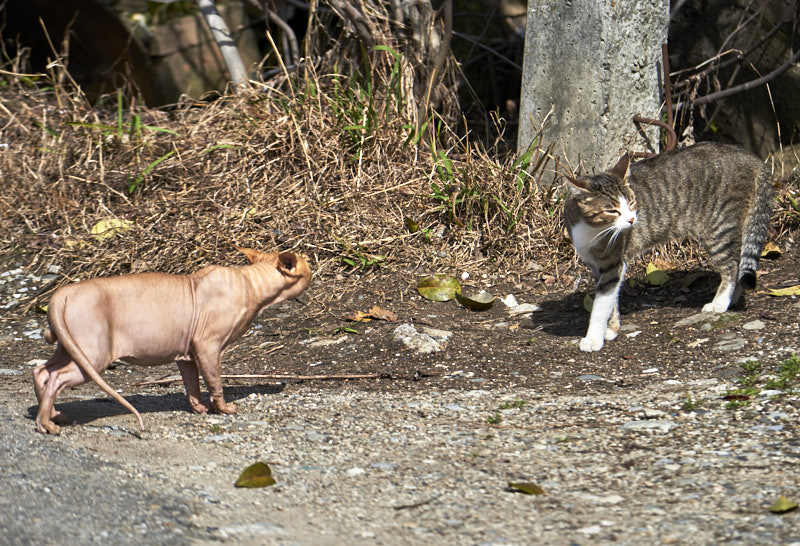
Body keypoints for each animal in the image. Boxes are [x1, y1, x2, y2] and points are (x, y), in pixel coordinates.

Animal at [564, 142, 776, 350]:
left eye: (632, 202)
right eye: (612, 210)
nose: (632, 220)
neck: (592, 229)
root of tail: (752, 157)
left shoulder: (613, 262)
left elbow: (601, 304)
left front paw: (593, 339)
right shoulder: (598, 266)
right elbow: (611, 300)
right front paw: (612, 329)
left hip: (719, 227)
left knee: (731, 267)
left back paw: (720, 303)